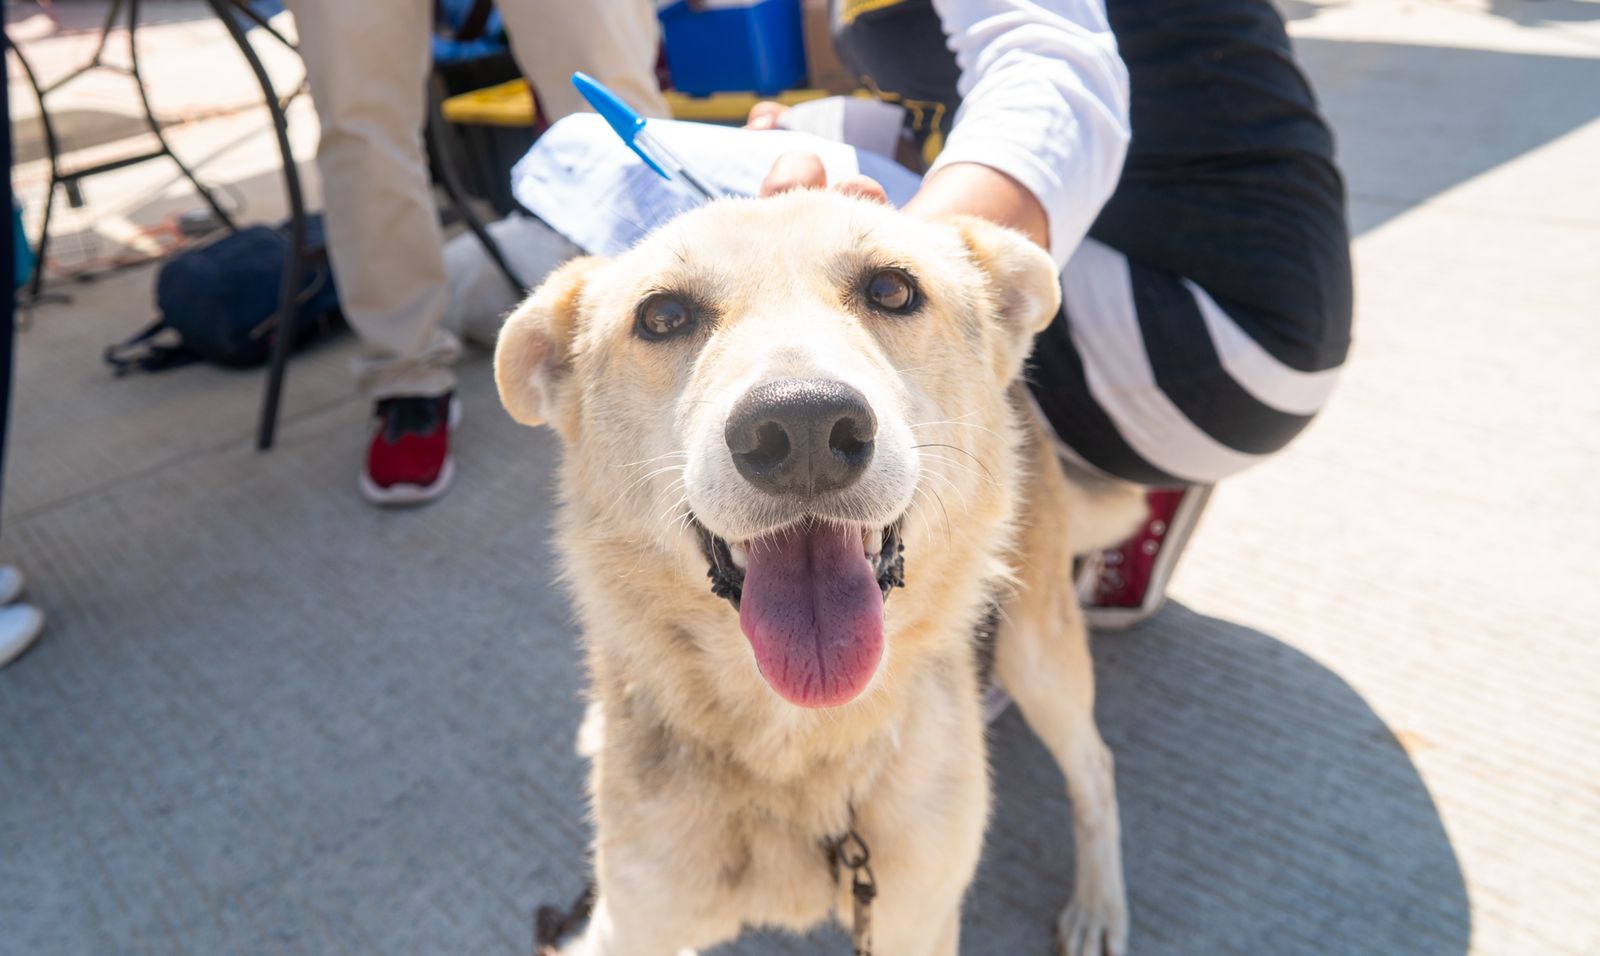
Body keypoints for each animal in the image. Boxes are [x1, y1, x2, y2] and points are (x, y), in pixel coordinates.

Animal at [492, 189, 1145, 956]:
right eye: (663, 316)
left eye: (891, 289)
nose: (801, 425)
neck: (798, 735)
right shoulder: (633, 923)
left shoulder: (915, 921)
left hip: (1038, 653)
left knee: (1096, 769)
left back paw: (1098, 904)